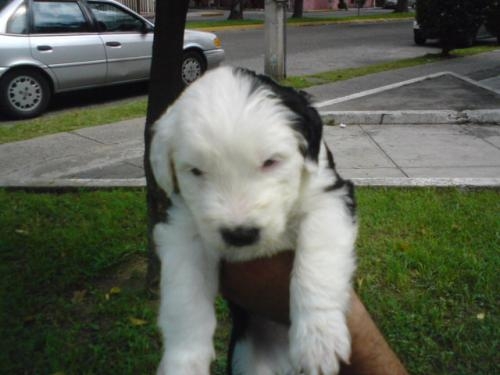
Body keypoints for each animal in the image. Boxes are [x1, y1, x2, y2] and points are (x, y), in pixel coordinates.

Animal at [148, 66, 356, 374]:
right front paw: (183, 362)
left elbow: (317, 263)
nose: (240, 234)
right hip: (247, 359)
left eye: (270, 162)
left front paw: (318, 340)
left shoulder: (329, 197)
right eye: (196, 171)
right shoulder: (182, 228)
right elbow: (184, 297)